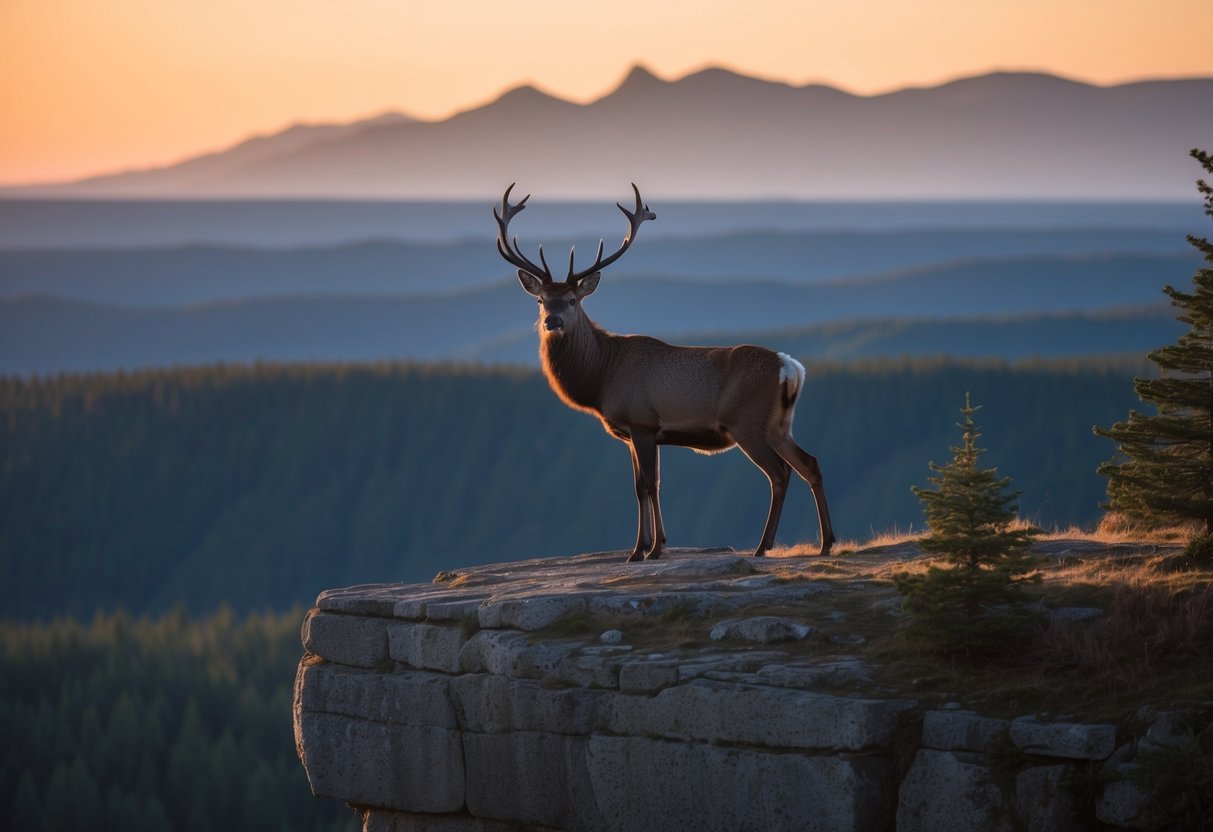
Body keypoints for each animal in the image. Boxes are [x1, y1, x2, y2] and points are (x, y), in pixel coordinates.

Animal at [495, 183, 836, 563]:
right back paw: (826, 543)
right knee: (810, 464)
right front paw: (644, 547)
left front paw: (651, 549)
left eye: (572, 300)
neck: (601, 379)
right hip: (779, 425)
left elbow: (647, 484)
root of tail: (790, 368)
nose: (551, 322)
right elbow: (643, 486)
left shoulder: (642, 421)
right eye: (541, 300)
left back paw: (764, 546)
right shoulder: (632, 433)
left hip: (747, 423)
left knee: (779, 473)